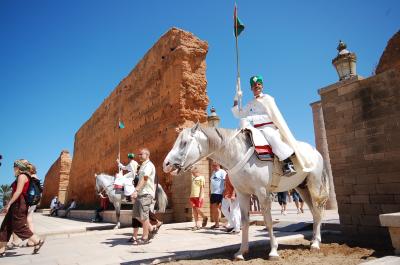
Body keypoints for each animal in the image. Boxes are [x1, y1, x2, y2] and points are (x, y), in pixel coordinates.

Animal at [162, 123, 328, 258]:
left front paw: (273, 251)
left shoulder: (262, 193)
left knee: (318, 210)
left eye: (184, 143)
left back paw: (315, 244)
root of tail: (315, 151)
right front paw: (241, 252)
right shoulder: (242, 194)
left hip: (314, 184)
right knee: (314, 212)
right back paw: (314, 240)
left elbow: (268, 221)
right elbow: (244, 221)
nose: (166, 164)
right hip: (302, 188)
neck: (238, 154)